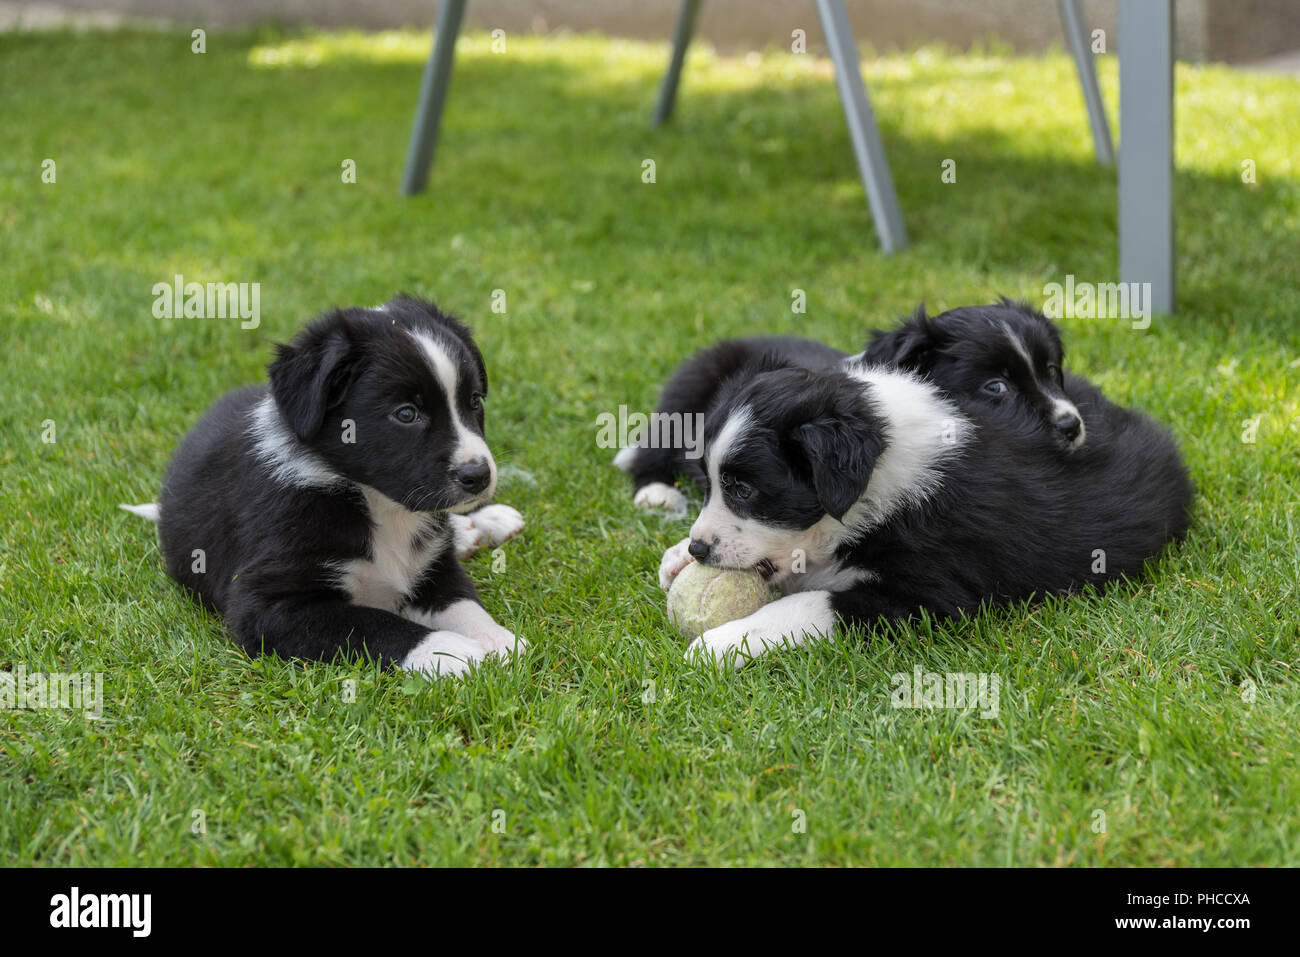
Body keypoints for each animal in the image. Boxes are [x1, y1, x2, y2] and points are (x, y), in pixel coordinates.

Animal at [122, 295, 522, 676]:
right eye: (407, 414)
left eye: (474, 401)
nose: (478, 476)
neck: (377, 504)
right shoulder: (266, 605)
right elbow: (371, 624)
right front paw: (452, 652)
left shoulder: (434, 566)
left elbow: (462, 602)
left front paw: (498, 640)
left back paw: (485, 523)